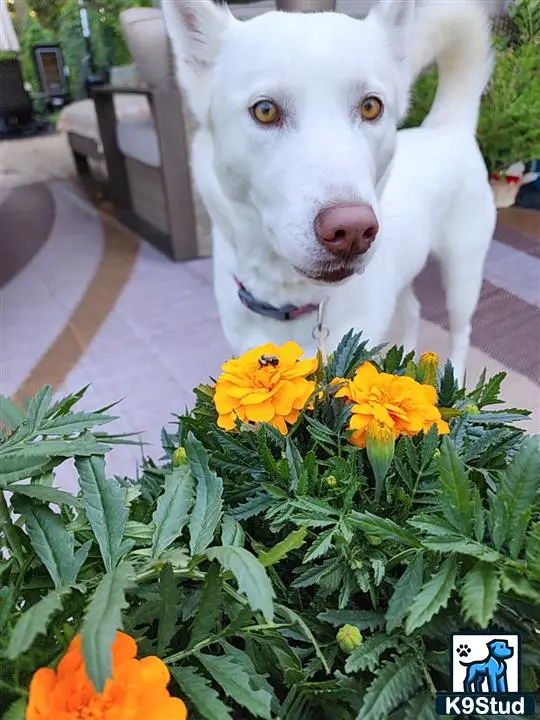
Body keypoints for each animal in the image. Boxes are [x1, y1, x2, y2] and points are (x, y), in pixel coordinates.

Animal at [162, 0, 496, 382]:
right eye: (265, 110)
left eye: (371, 106)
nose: (352, 230)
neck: (292, 302)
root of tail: (446, 127)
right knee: (413, 310)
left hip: (462, 276)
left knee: (462, 332)